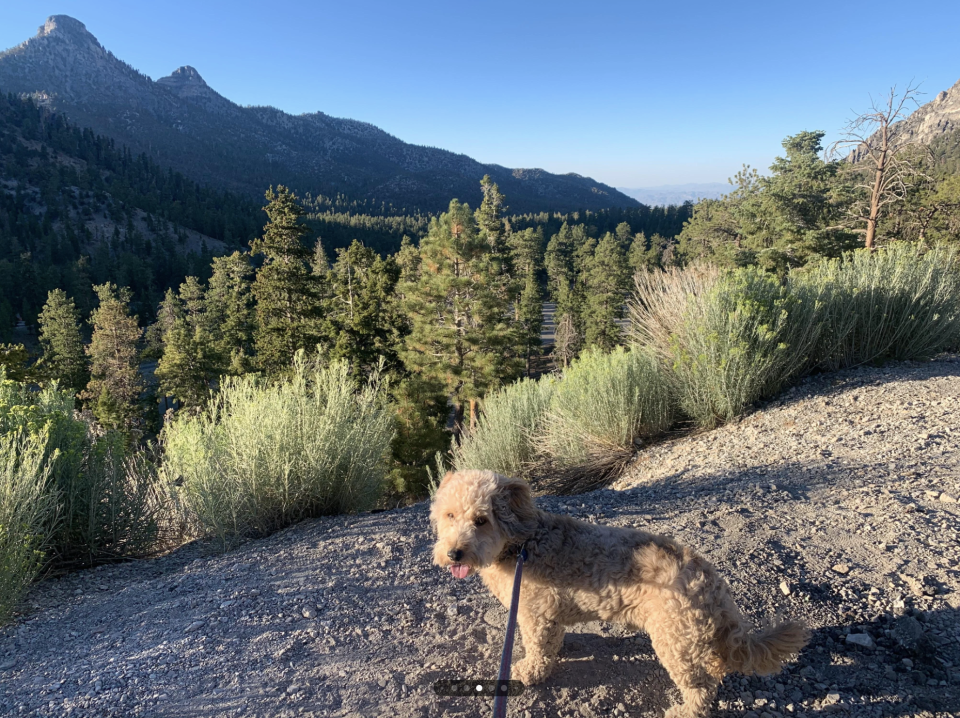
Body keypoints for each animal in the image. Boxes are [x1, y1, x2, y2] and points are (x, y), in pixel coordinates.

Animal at [432, 472, 808, 718]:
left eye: (481, 520)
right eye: (449, 515)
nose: (454, 554)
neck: (521, 545)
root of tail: (713, 584)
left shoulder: (534, 613)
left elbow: (537, 649)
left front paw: (529, 671)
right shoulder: (548, 615)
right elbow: (553, 641)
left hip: (674, 642)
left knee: (702, 689)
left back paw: (684, 711)